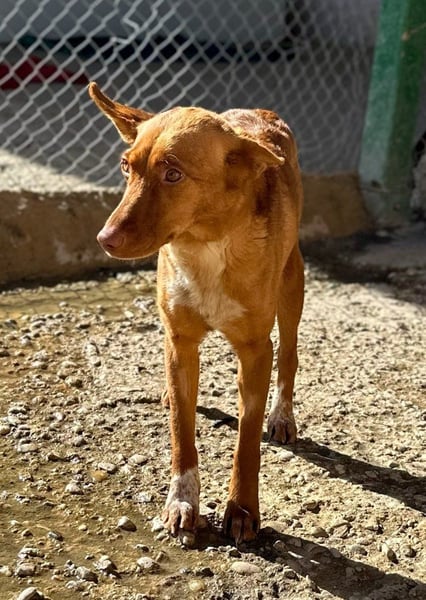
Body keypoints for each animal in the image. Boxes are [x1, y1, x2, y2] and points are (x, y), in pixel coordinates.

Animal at [88, 82, 304, 543]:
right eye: (125, 167)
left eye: (173, 174)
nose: (104, 239)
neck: (205, 247)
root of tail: (258, 111)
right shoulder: (181, 342)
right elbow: (181, 433)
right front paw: (182, 502)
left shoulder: (256, 351)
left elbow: (246, 444)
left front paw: (242, 509)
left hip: (292, 286)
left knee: (290, 354)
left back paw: (282, 415)